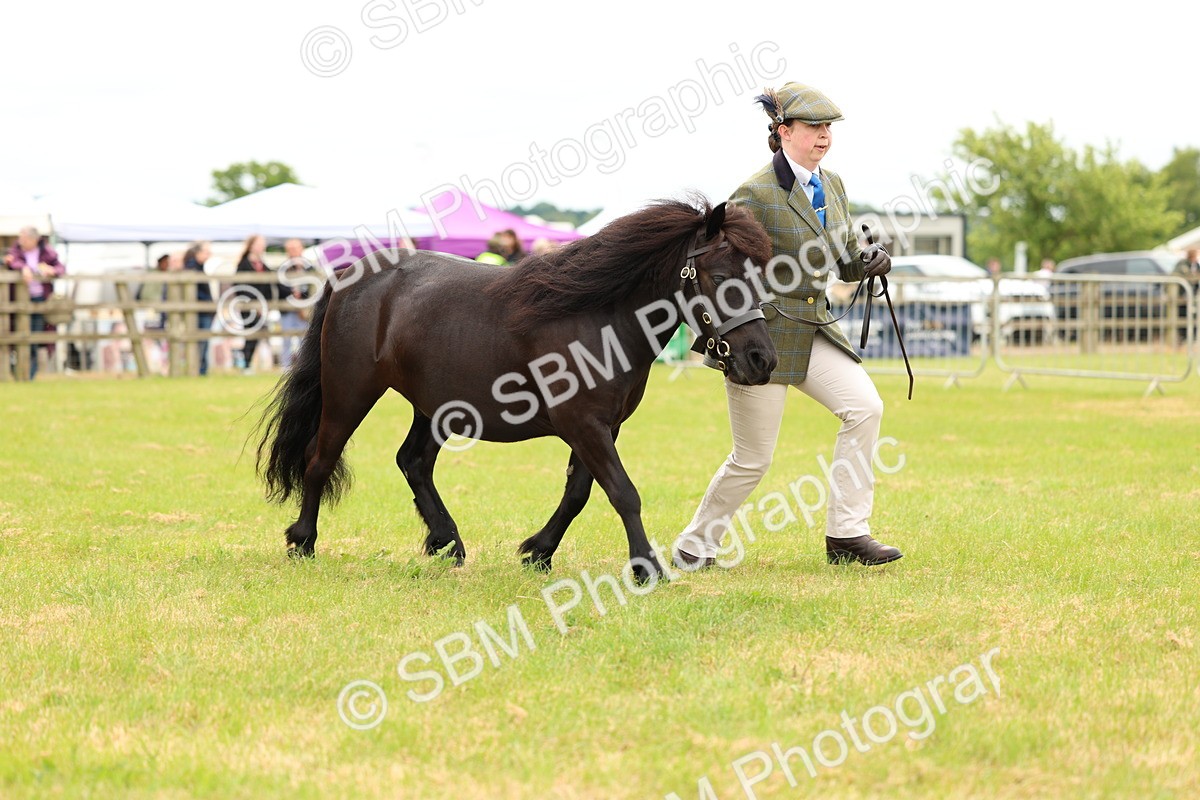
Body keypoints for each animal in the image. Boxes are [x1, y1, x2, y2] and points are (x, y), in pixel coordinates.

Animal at [253, 197, 778, 581]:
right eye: (722, 276)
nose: (762, 361)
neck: (598, 316)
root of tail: (350, 275)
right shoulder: (584, 424)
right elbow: (623, 492)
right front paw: (647, 568)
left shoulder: (602, 427)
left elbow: (578, 494)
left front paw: (538, 552)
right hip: (350, 391)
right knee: (320, 459)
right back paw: (303, 541)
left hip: (434, 406)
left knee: (413, 462)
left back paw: (447, 542)